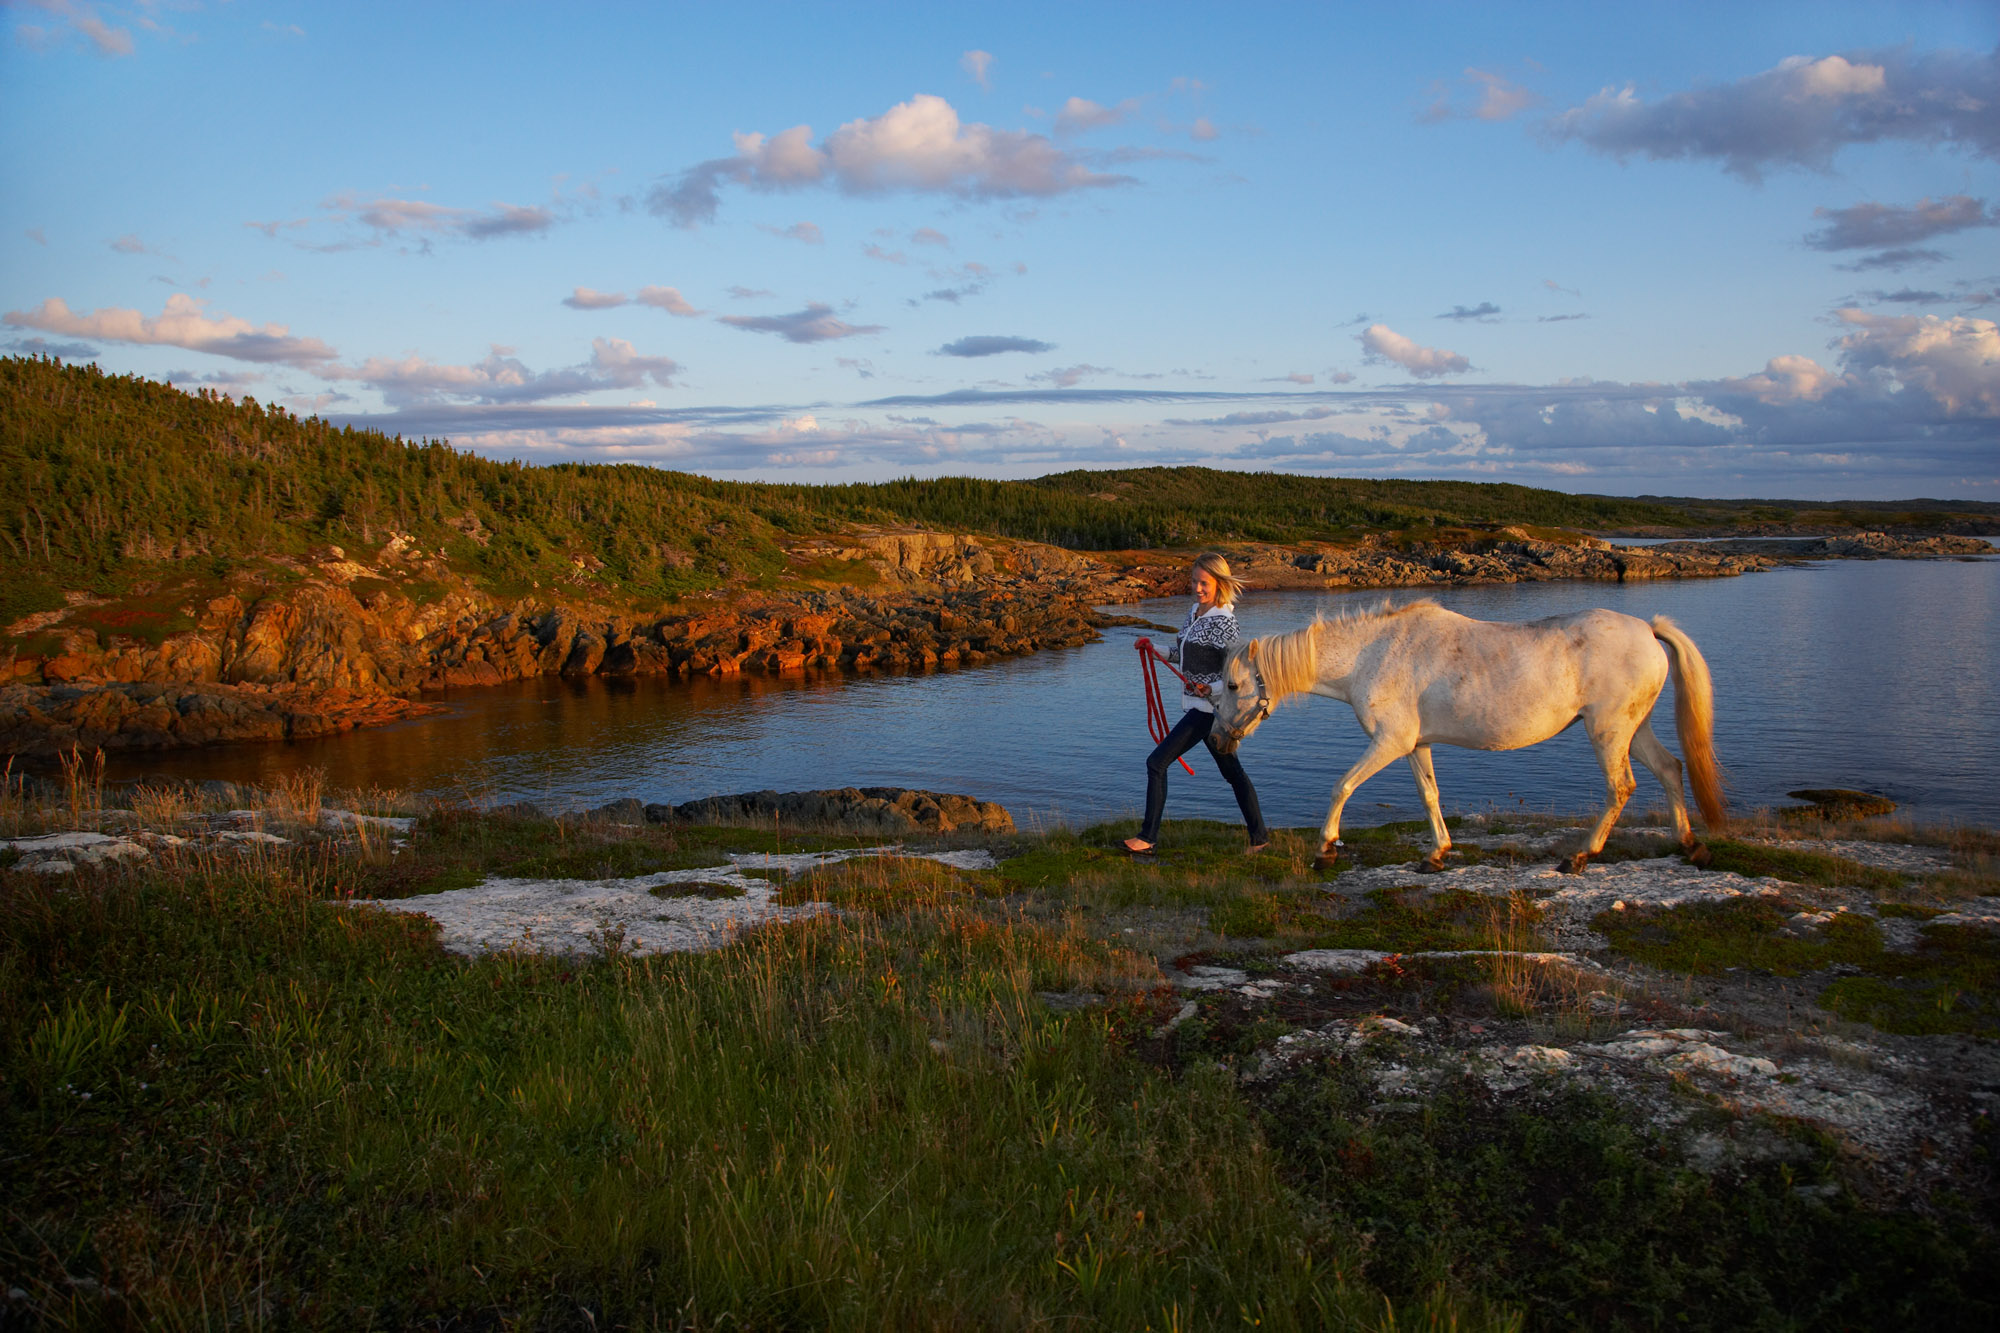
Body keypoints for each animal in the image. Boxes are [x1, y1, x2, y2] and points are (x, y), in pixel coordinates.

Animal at [1208, 600, 1728, 872]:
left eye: (1231, 686)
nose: (1216, 740)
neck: (1371, 654)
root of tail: (1648, 629)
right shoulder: (1415, 746)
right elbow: (1429, 796)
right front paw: (1437, 853)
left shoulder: (1389, 743)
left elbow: (1343, 786)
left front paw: (1325, 847)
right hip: (1633, 730)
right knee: (1670, 769)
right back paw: (1689, 844)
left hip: (1609, 731)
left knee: (1621, 787)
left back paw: (1581, 855)